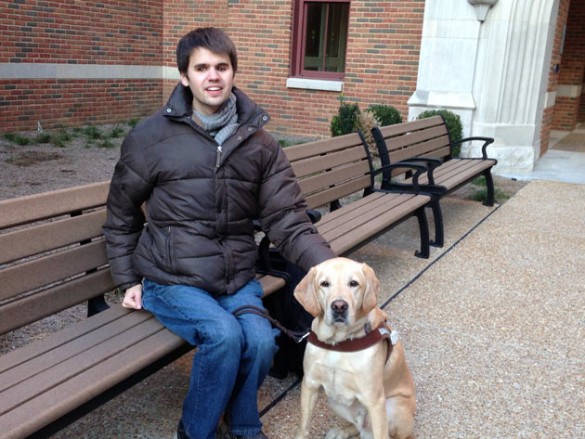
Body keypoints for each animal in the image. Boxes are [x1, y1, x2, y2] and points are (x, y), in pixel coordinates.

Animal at [292, 258, 416, 439]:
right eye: (324, 284)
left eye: (353, 283)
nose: (339, 306)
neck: (339, 343)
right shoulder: (310, 384)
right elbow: (303, 427)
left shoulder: (375, 400)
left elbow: (381, 434)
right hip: (335, 400)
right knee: (357, 425)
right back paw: (341, 432)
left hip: (393, 407)